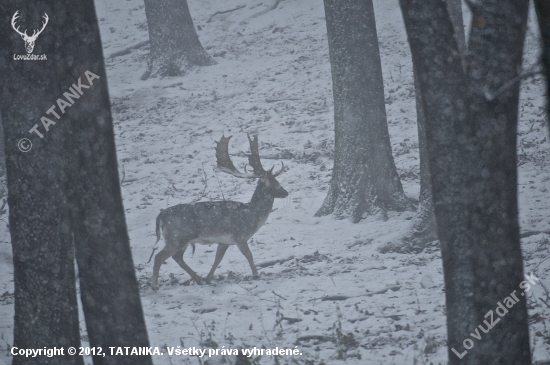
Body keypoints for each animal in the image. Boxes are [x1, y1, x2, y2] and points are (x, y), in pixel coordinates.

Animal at [151, 134, 288, 290]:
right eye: (276, 183)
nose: (286, 192)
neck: (252, 215)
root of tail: (161, 215)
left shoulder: (224, 241)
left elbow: (218, 258)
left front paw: (209, 278)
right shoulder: (240, 236)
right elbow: (249, 255)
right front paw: (256, 274)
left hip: (181, 239)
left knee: (177, 257)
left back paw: (198, 278)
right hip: (176, 237)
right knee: (159, 256)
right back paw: (154, 285)